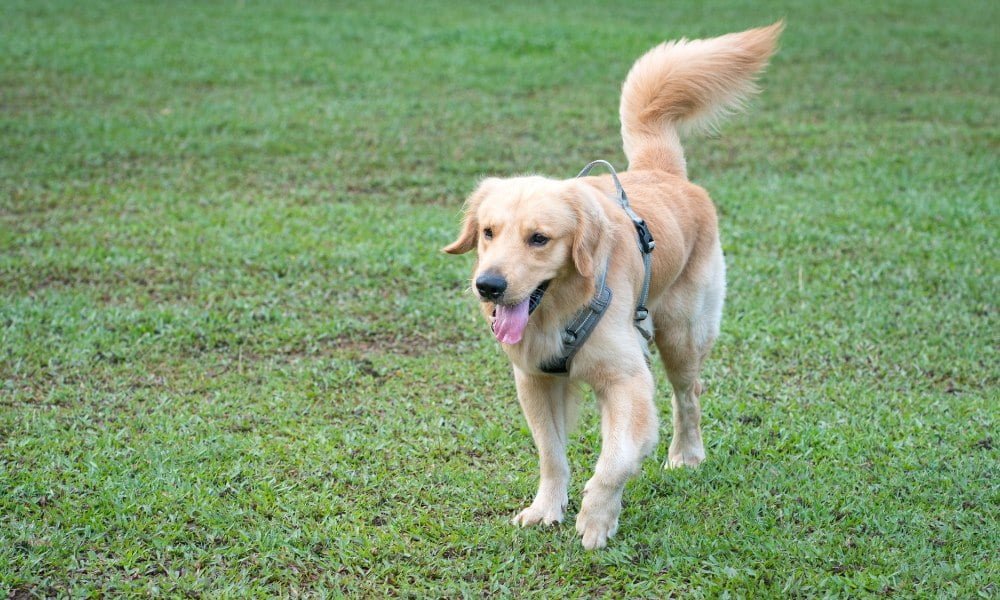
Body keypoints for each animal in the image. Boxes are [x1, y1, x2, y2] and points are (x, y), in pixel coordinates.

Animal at [444, 22, 780, 548]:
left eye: (539, 238)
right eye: (487, 232)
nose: (489, 286)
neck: (560, 309)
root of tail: (660, 171)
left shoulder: (627, 382)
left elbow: (615, 462)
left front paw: (596, 519)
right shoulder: (535, 380)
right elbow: (551, 454)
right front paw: (546, 508)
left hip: (682, 335)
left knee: (689, 395)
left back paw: (687, 455)